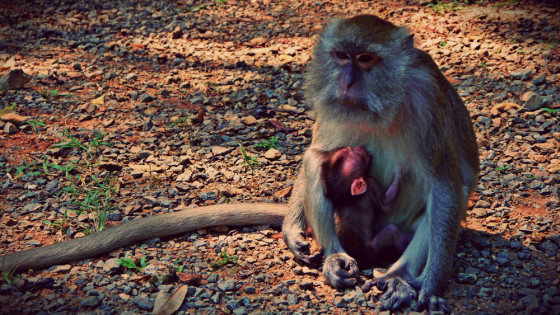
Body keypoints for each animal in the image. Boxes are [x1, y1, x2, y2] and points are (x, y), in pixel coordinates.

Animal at [282, 12, 480, 314]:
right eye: (341, 56)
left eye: (365, 58)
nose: (347, 82)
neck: (384, 104)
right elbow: (316, 153)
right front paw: (292, 230)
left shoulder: (428, 98)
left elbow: (445, 185)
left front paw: (431, 285)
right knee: (315, 161)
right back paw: (336, 257)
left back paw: (399, 276)